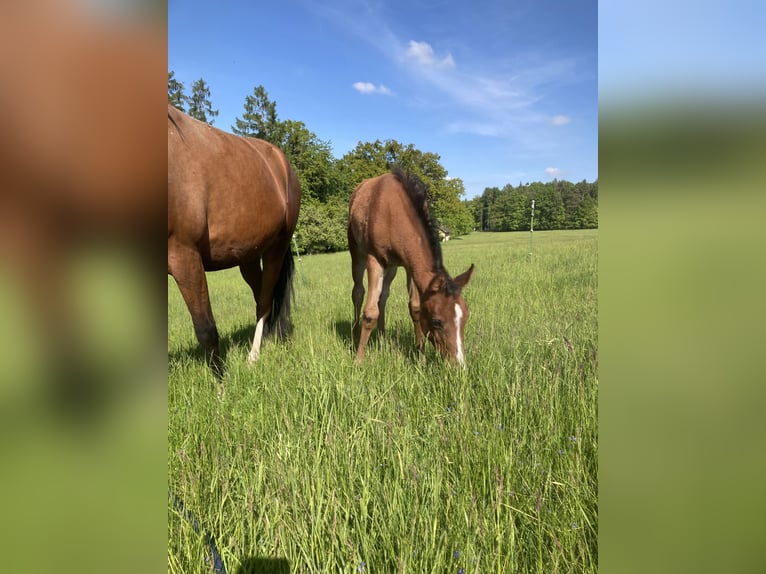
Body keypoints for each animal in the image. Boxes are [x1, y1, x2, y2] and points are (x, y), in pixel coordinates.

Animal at [168, 105, 301, 374]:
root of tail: (283, 165)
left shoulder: (184, 255)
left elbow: (206, 328)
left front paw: (220, 383)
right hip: (248, 257)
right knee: (262, 296)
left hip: (276, 249)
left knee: (264, 302)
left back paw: (254, 357)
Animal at [347, 167, 474, 366]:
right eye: (437, 321)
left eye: (466, 316)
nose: (458, 365)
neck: (392, 214)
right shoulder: (374, 259)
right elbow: (369, 313)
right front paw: (358, 361)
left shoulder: (409, 266)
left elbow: (415, 308)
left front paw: (420, 357)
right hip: (357, 252)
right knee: (358, 292)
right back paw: (354, 335)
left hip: (391, 266)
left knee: (383, 297)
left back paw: (383, 340)